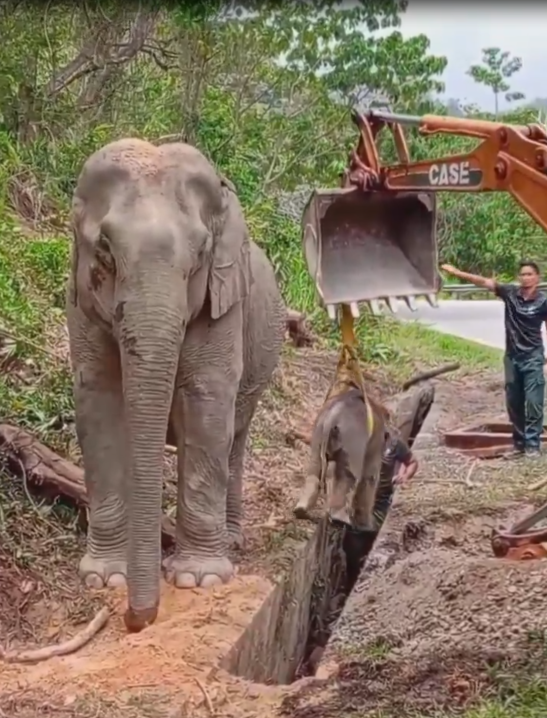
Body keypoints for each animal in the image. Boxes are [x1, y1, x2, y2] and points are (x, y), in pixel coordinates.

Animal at [67, 141, 286, 636]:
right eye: (105, 250)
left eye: (201, 252)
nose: (137, 620)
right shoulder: (81, 302)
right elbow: (98, 401)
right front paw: (104, 578)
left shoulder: (223, 304)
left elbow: (207, 402)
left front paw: (197, 579)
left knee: (235, 437)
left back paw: (231, 539)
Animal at [294, 388, 388, 536]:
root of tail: (334, 414)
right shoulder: (373, 449)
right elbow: (369, 479)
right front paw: (367, 526)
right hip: (352, 442)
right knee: (347, 477)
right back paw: (340, 519)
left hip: (318, 433)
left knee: (314, 471)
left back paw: (301, 509)